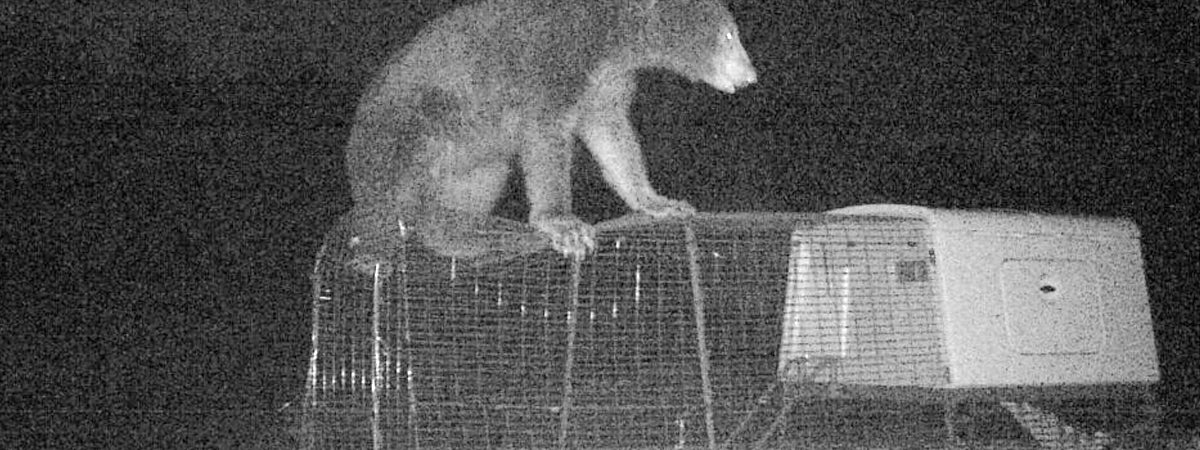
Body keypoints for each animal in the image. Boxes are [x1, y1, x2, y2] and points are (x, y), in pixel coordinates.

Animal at [342, 0, 757, 265]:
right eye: (729, 37)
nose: (750, 75)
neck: (612, 37)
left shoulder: (606, 82)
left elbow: (610, 132)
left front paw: (656, 201)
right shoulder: (557, 55)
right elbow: (546, 133)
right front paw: (563, 223)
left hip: (471, 157)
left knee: (485, 175)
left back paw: (465, 234)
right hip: (407, 124)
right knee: (405, 168)